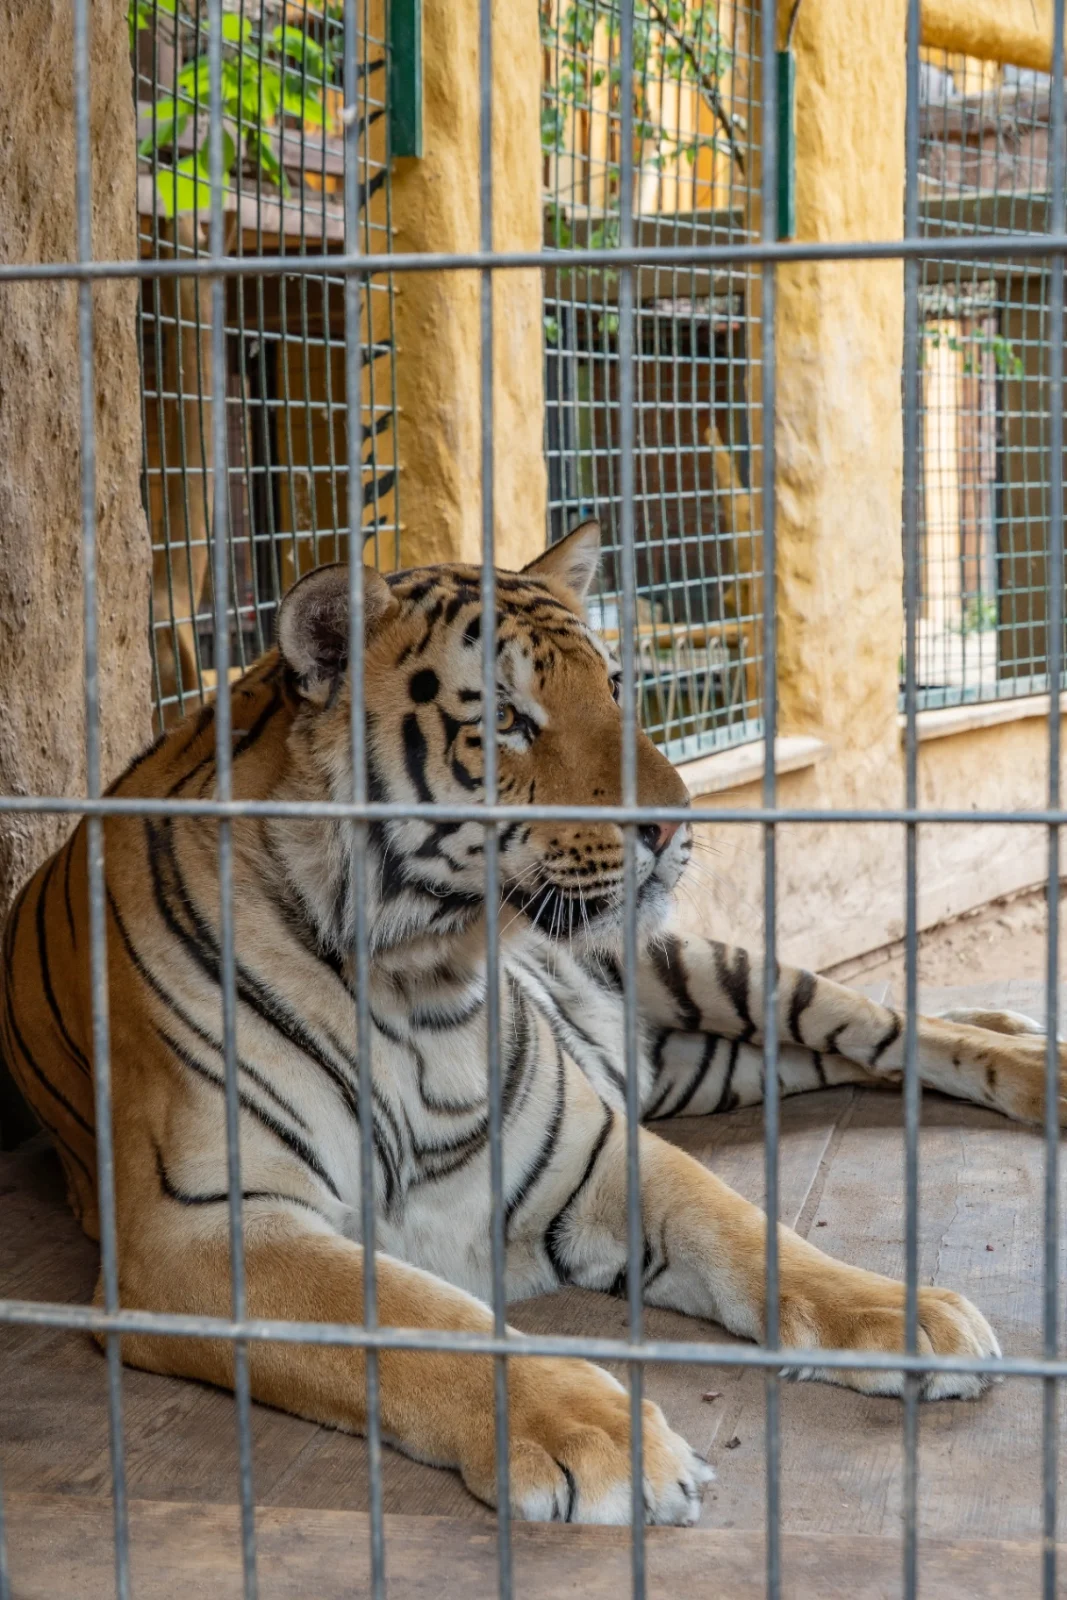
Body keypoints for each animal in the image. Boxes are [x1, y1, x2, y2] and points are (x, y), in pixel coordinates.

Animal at [2, 519, 1061, 1527]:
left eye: (619, 687)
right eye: (506, 719)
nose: (676, 824)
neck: (419, 978)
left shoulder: (599, 1149)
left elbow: (753, 1234)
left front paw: (908, 1313)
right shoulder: (201, 1229)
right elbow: (424, 1321)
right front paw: (600, 1440)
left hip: (720, 975)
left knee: (898, 1030)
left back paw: (1039, 1064)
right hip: (711, 1062)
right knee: (850, 1058)